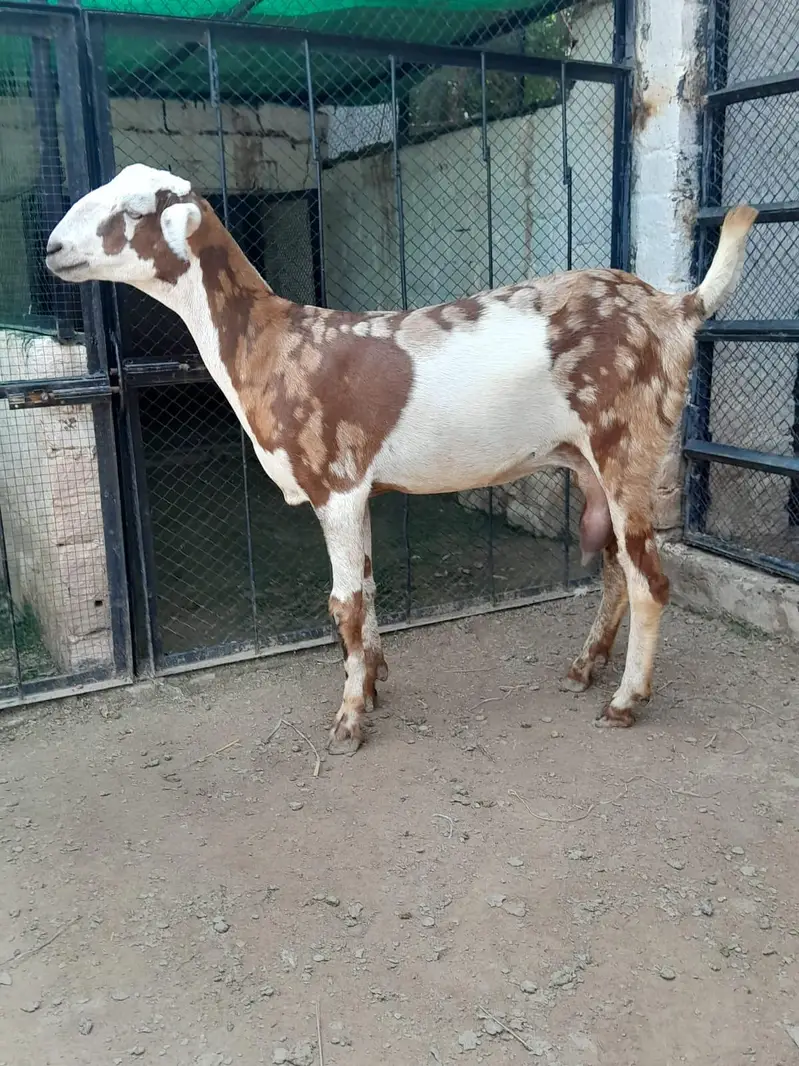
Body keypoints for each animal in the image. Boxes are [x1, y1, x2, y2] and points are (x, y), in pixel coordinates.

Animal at [45, 164, 756, 752]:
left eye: (134, 209)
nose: (51, 247)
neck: (272, 346)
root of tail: (676, 306)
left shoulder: (333, 482)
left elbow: (343, 603)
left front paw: (347, 722)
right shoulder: (358, 489)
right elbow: (365, 587)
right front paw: (372, 680)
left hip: (629, 442)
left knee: (648, 580)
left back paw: (626, 700)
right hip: (589, 462)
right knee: (612, 569)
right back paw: (584, 668)